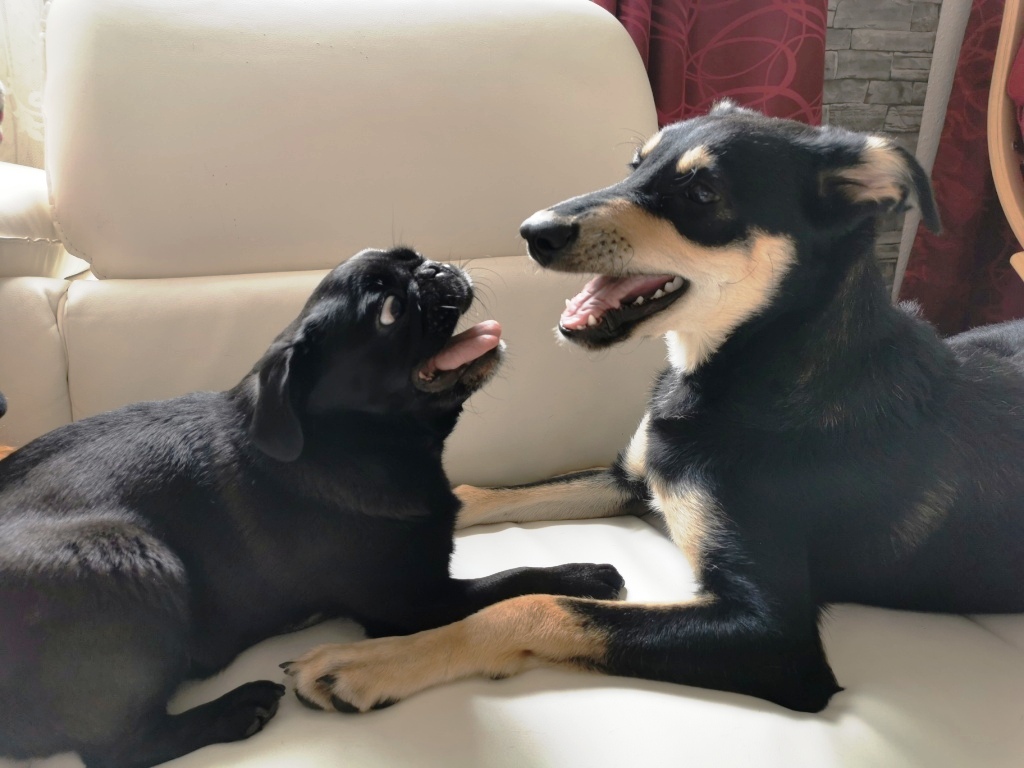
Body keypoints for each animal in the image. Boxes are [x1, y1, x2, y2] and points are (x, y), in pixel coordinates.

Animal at [0, 247, 624, 768]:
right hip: (136, 558)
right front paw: (586, 574)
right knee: (119, 750)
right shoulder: (415, 603)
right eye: (390, 311)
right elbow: (514, 579)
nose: (435, 268)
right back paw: (235, 709)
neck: (351, 440)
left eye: (415, 259)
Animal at [285, 103, 1024, 714]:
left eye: (703, 194)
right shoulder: (631, 478)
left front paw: (371, 662)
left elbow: (543, 608)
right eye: (635, 165)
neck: (753, 365)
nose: (533, 232)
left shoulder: (776, 636)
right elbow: (482, 493)